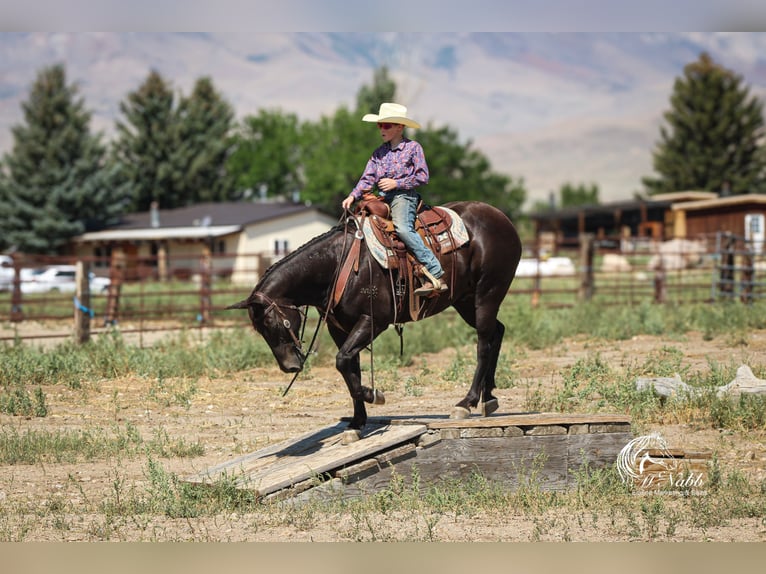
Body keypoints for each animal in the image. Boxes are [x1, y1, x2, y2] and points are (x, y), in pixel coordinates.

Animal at [227, 200, 522, 441]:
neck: (338, 265)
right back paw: (488, 398)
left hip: (487, 294)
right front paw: (357, 423)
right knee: (497, 332)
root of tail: (502, 218)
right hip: (464, 300)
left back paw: (466, 403)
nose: (289, 367)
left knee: (483, 343)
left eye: (275, 323)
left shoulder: (373, 320)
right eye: (260, 330)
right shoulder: (339, 328)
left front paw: (374, 395)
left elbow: (343, 362)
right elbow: (350, 367)